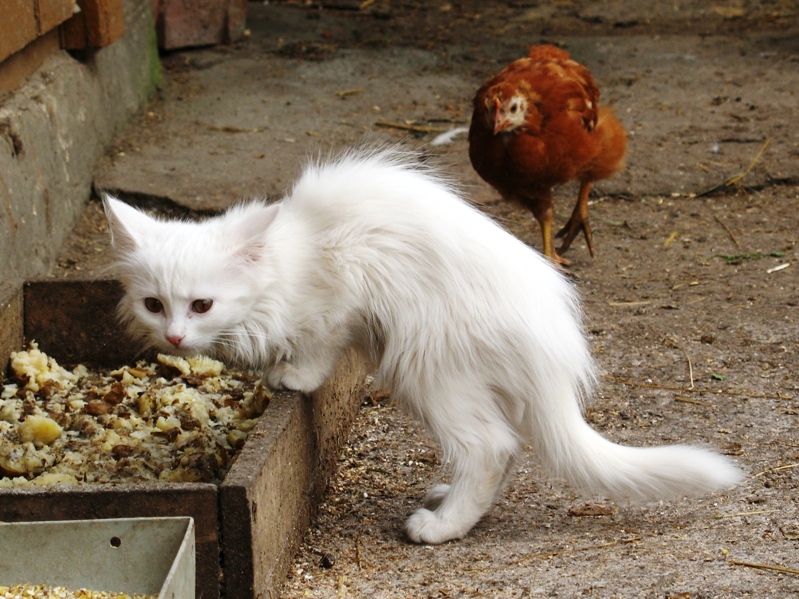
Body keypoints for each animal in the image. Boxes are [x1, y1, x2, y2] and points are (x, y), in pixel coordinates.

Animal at [104, 147, 743, 545]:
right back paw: (449, 502)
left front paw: (294, 375)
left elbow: (319, 346)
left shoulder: (340, 296)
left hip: (423, 362)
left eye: (201, 305)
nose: (175, 335)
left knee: (490, 446)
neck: (287, 260)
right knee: (508, 446)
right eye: (154, 304)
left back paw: (440, 528)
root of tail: (556, 343)